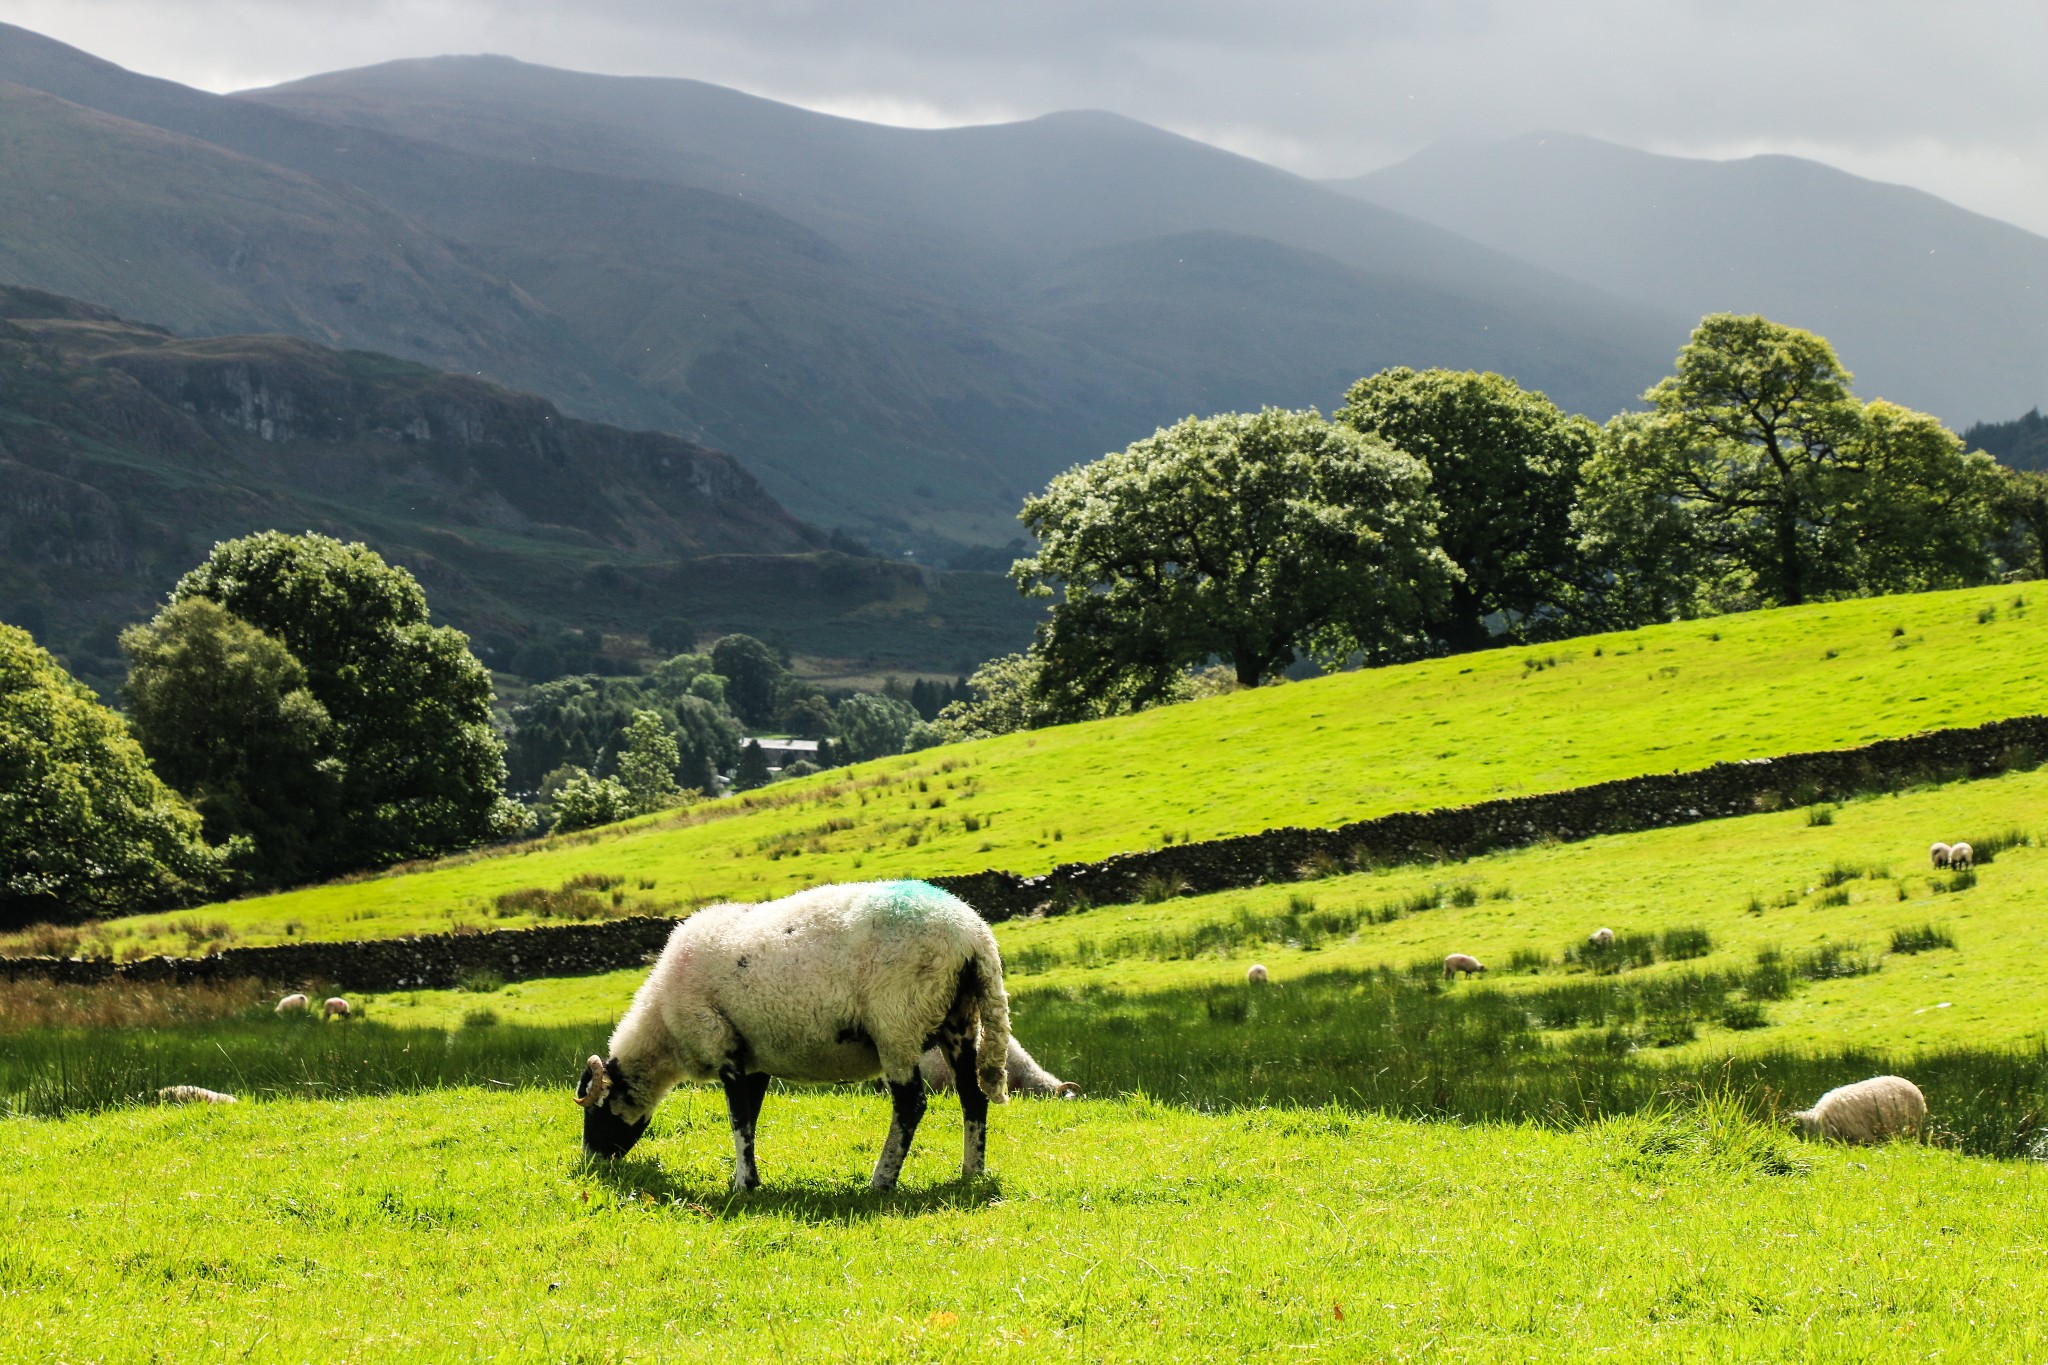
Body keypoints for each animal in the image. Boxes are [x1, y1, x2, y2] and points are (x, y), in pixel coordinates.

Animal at [577, 879, 1007, 1186]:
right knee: (972, 1097)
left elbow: (738, 1119)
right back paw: (971, 1172)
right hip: (960, 1021)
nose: (590, 1161)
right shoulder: (752, 1059)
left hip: (897, 1023)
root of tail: (974, 935)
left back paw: (882, 1180)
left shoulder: (721, 1044)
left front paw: (744, 1184)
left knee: (911, 1104)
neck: (664, 1028)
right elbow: (750, 1119)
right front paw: (748, 1177)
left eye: (596, 1110)